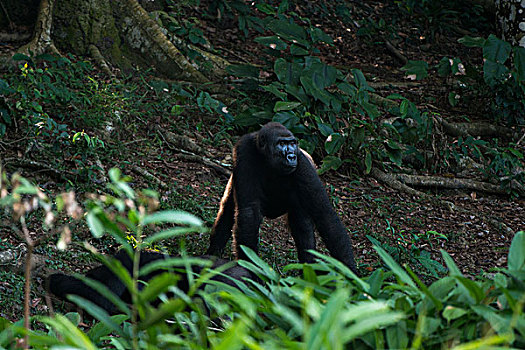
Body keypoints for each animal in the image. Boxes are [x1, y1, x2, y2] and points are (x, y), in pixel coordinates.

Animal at [207, 121, 358, 274]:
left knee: (301, 223)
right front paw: (249, 266)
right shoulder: (244, 150)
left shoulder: (303, 163)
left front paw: (350, 272)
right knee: (227, 210)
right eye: (281, 143)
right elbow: (249, 211)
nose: (291, 156)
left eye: (292, 143)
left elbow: (325, 215)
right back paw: (212, 256)